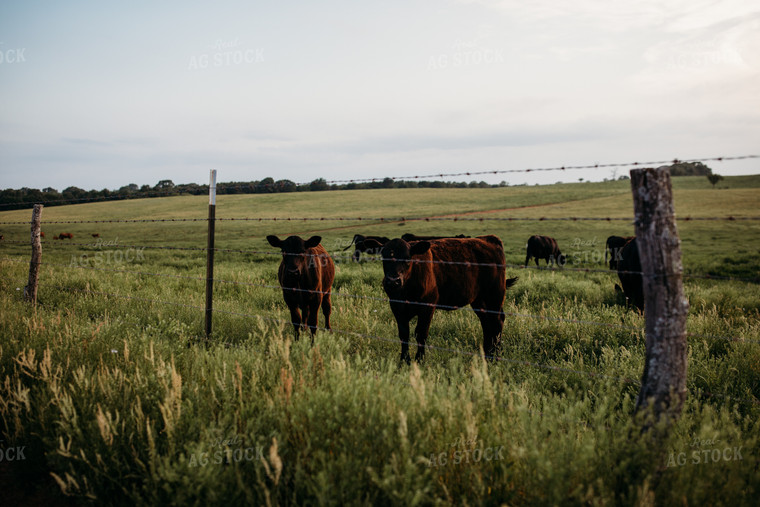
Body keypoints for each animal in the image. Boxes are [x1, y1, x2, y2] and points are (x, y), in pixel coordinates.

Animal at [366, 236, 520, 364]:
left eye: (407, 258)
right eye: (384, 257)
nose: (393, 281)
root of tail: (488, 239)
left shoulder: (428, 306)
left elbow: (421, 334)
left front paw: (419, 360)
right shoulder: (396, 306)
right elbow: (404, 334)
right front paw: (404, 360)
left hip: (494, 296)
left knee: (497, 322)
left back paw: (496, 356)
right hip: (479, 300)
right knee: (487, 323)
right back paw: (488, 354)